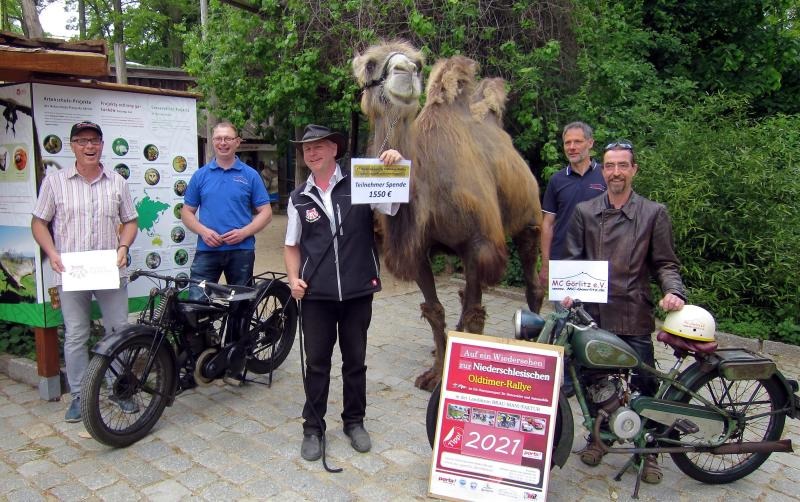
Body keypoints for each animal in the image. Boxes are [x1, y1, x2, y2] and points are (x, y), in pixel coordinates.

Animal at [354, 41, 548, 390]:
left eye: (418, 64)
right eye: (370, 64)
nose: (405, 71)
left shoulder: (478, 244)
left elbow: (474, 313)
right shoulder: (418, 250)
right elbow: (434, 309)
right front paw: (435, 371)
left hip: (529, 219)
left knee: (532, 283)